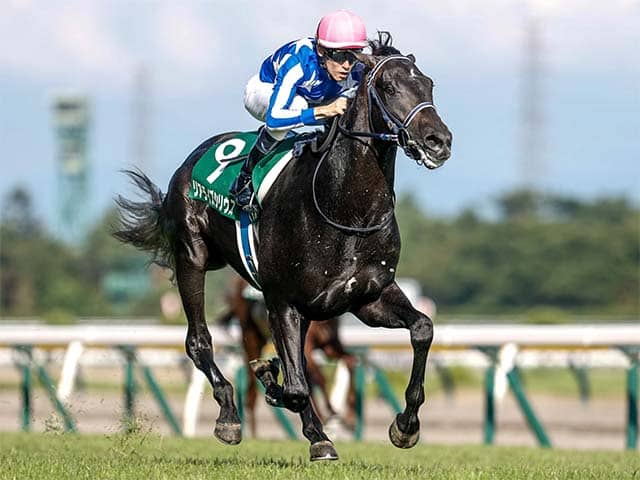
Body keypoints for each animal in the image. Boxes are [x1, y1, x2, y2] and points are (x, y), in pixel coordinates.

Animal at [216, 274, 357, 437]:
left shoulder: (329, 346)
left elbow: (350, 361)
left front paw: (350, 418)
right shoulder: (306, 347)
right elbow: (319, 377)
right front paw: (332, 413)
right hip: (251, 337)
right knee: (251, 392)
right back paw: (252, 434)